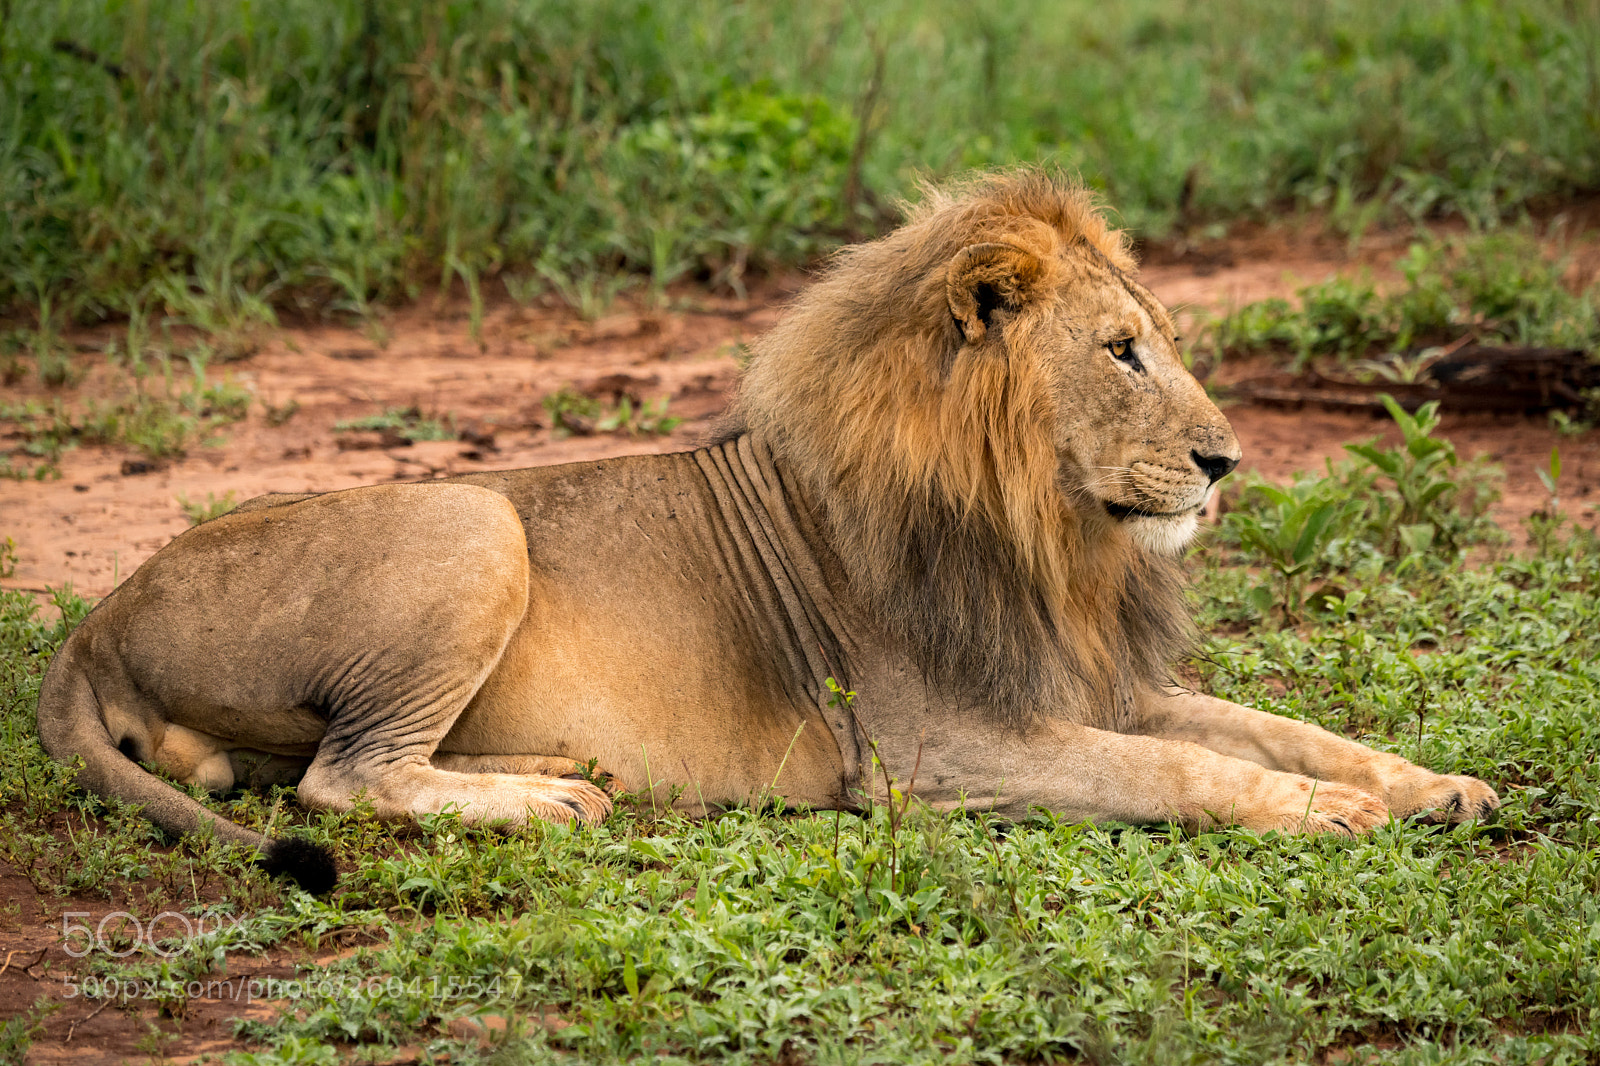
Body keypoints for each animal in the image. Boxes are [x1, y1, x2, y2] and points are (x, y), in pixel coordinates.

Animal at [37, 170, 1499, 893]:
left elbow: (1282, 729)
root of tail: (95, 616)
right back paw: (547, 797)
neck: (1056, 543)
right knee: (340, 780)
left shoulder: (1097, 686)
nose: (1226, 462)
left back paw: (560, 770)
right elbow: (1188, 771)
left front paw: (1433, 785)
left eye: (1163, 345)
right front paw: (1329, 816)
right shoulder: (941, 753)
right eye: (1122, 351)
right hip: (472, 514)